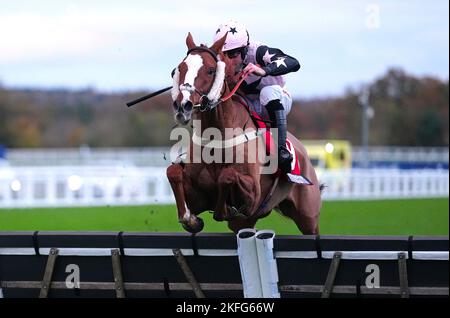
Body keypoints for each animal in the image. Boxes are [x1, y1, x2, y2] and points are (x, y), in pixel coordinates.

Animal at [165, 33, 320, 234]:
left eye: (210, 70)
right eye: (179, 69)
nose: (183, 106)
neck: (218, 139)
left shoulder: (253, 196)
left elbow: (227, 176)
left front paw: (225, 209)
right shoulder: (197, 198)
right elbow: (173, 172)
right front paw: (190, 219)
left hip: (308, 216)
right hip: (245, 223)